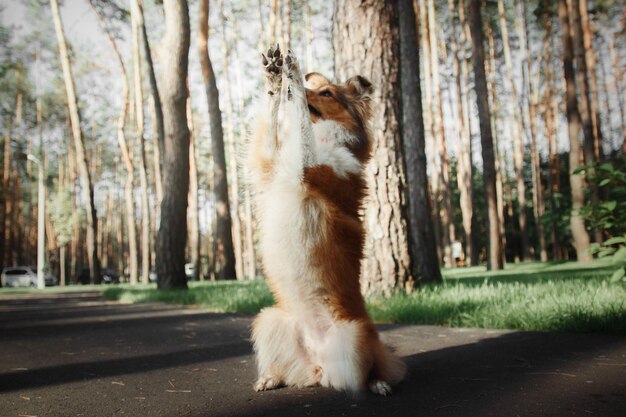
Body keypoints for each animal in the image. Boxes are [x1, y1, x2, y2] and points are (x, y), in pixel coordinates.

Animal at [246, 44, 402, 394]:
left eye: (327, 92)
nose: (302, 87)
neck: (327, 140)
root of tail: (319, 364)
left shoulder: (306, 168)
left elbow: (298, 120)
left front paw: (291, 74)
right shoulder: (269, 164)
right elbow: (273, 125)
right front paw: (274, 79)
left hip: (355, 335)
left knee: (367, 370)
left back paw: (378, 383)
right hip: (269, 318)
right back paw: (270, 378)